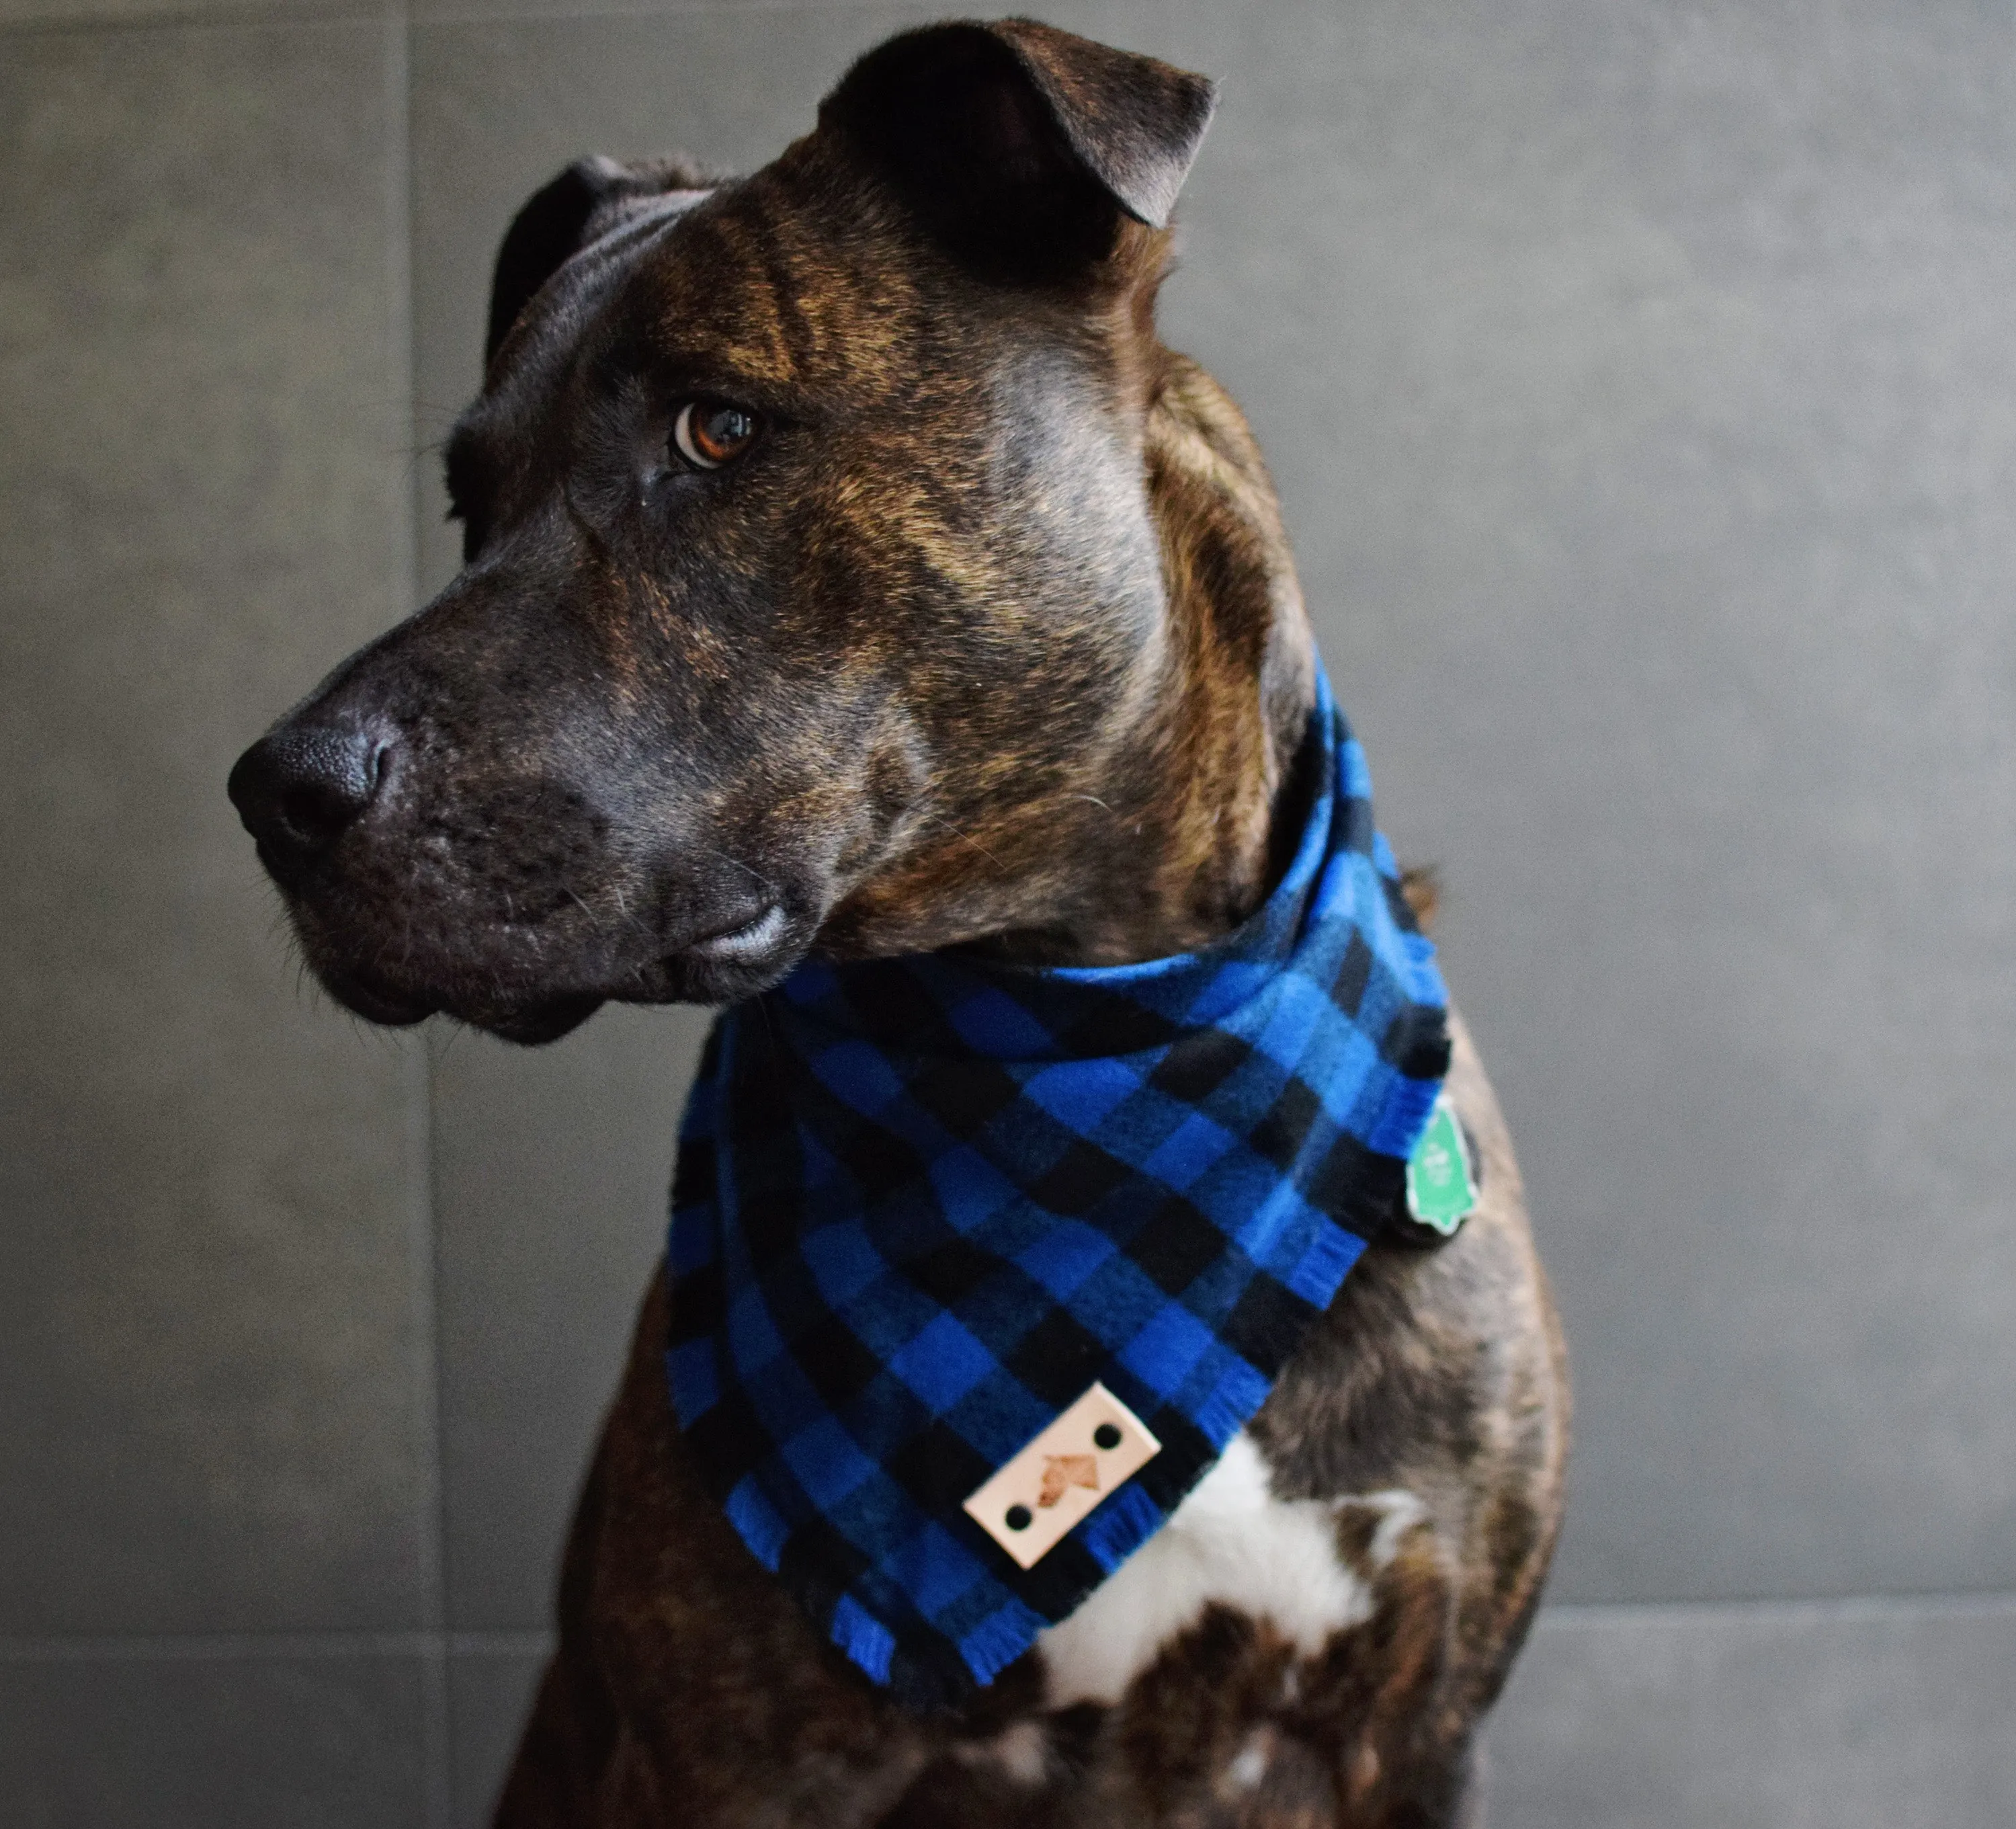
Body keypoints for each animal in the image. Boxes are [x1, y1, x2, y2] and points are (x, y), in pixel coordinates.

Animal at [228, 17, 1564, 1829]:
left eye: (718, 429)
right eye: (469, 501)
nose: (274, 791)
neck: (1068, 1029)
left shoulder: (1412, 1732)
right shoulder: (735, 1751)